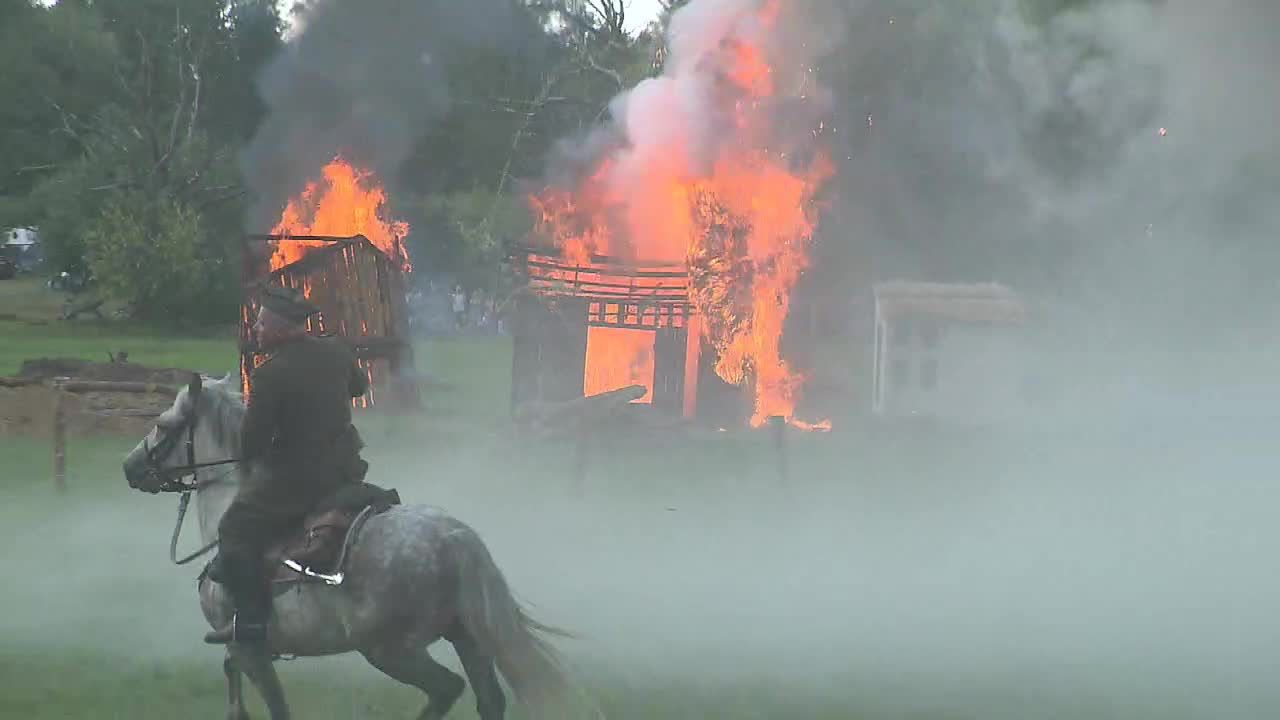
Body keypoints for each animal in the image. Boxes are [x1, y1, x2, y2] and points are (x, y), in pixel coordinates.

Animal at [122, 376, 573, 717]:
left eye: (162, 424)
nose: (129, 467)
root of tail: (454, 538)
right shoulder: (244, 650)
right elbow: (233, 685)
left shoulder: (249, 648)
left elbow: (274, 705)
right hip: (467, 639)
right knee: (488, 700)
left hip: (388, 651)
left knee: (447, 689)